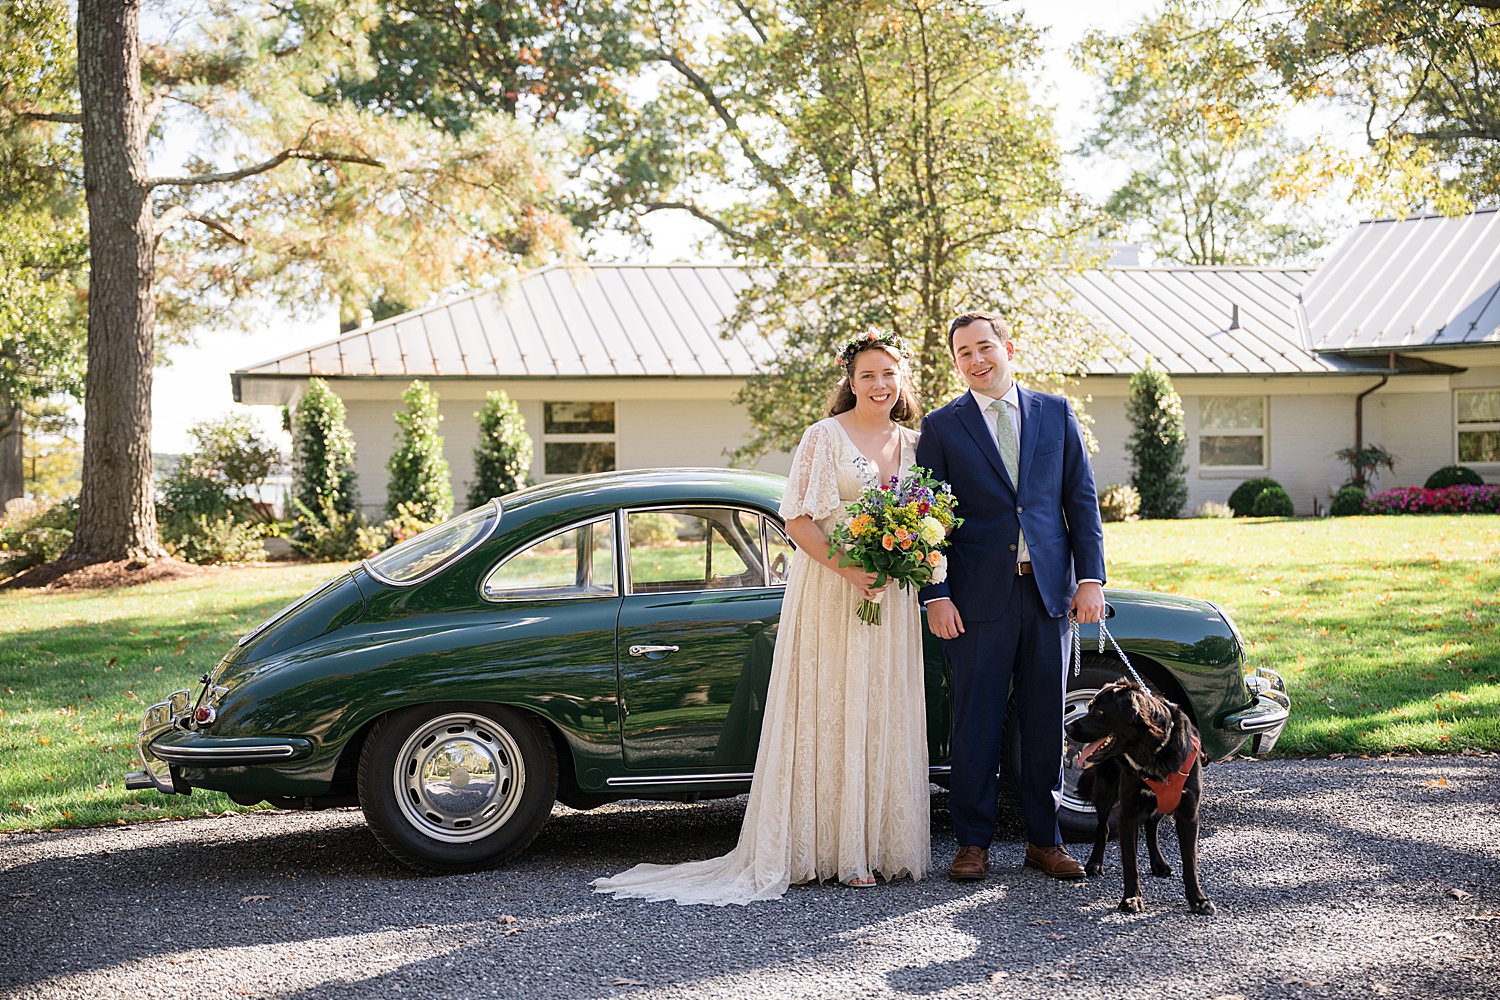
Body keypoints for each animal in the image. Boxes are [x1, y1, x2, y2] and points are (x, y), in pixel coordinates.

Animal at [1068, 680, 1218, 917]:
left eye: (1099, 712)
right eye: (1089, 707)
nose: (1067, 727)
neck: (1156, 753)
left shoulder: (1188, 814)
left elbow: (1190, 862)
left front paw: (1198, 900)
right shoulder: (1128, 813)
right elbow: (1130, 862)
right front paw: (1131, 899)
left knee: (1151, 826)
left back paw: (1158, 863)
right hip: (1105, 791)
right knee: (1103, 827)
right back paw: (1095, 863)